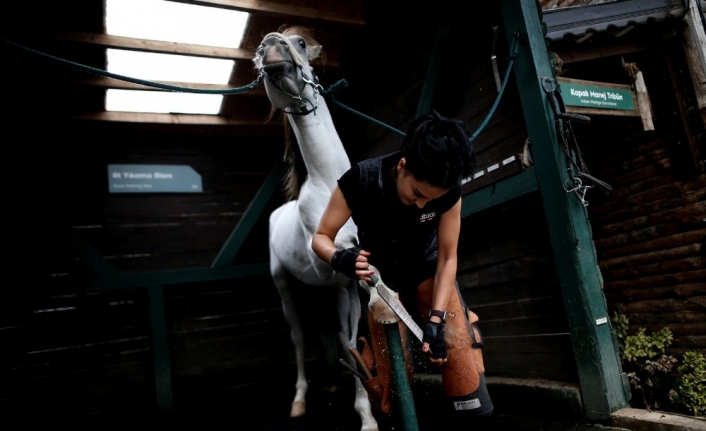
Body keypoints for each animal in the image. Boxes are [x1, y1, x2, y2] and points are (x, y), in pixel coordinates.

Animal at [253, 27, 380, 431]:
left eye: (300, 44)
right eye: (258, 57)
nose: (269, 48)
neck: (330, 185)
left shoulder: (346, 286)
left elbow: (351, 340)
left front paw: (366, 414)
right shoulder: (327, 265)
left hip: (331, 293)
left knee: (335, 334)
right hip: (285, 285)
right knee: (298, 337)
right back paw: (299, 400)